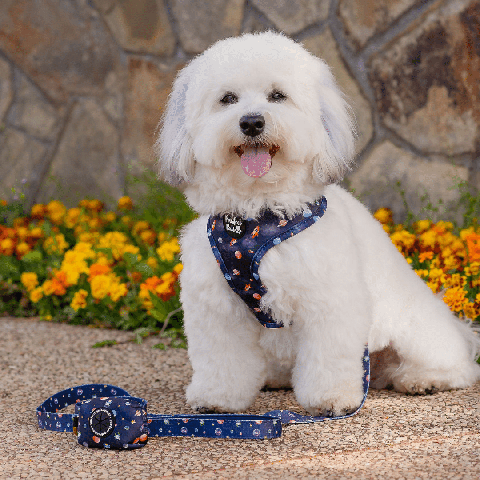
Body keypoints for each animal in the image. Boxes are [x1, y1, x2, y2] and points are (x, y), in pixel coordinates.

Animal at [156, 31, 478, 414]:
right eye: (227, 99)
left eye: (278, 95)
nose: (251, 122)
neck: (257, 218)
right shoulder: (216, 307)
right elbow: (222, 361)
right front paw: (216, 399)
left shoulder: (329, 302)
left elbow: (329, 360)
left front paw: (331, 399)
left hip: (416, 334)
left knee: (456, 367)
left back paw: (422, 379)